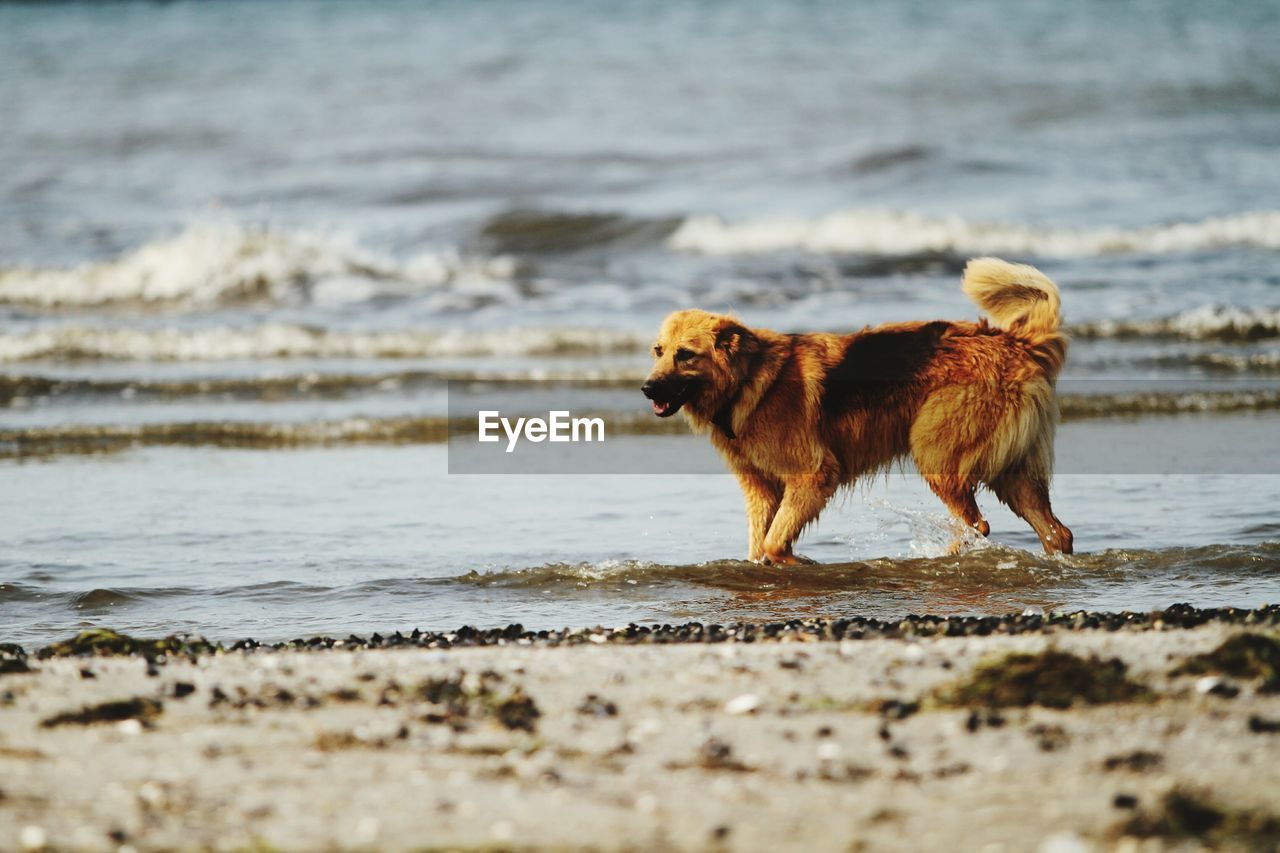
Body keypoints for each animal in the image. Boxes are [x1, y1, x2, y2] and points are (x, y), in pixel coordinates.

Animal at [640, 258, 1070, 563]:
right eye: (659, 352)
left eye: (686, 355)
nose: (646, 389)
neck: (748, 382)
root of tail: (1016, 342)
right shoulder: (761, 490)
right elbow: (760, 545)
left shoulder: (813, 475)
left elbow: (775, 543)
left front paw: (797, 563)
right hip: (1011, 474)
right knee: (1054, 532)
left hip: (936, 454)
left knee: (978, 525)